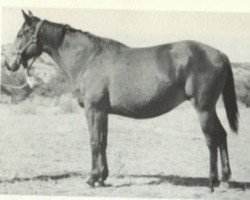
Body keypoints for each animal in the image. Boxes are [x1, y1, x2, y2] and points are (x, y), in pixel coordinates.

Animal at [5, 10, 239, 191]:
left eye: (21, 34)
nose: (10, 63)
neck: (88, 58)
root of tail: (220, 54)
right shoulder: (104, 112)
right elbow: (103, 142)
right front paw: (103, 177)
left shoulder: (93, 110)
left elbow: (94, 142)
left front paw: (92, 178)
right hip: (210, 109)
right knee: (222, 136)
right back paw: (225, 179)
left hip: (203, 108)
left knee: (211, 140)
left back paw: (211, 182)